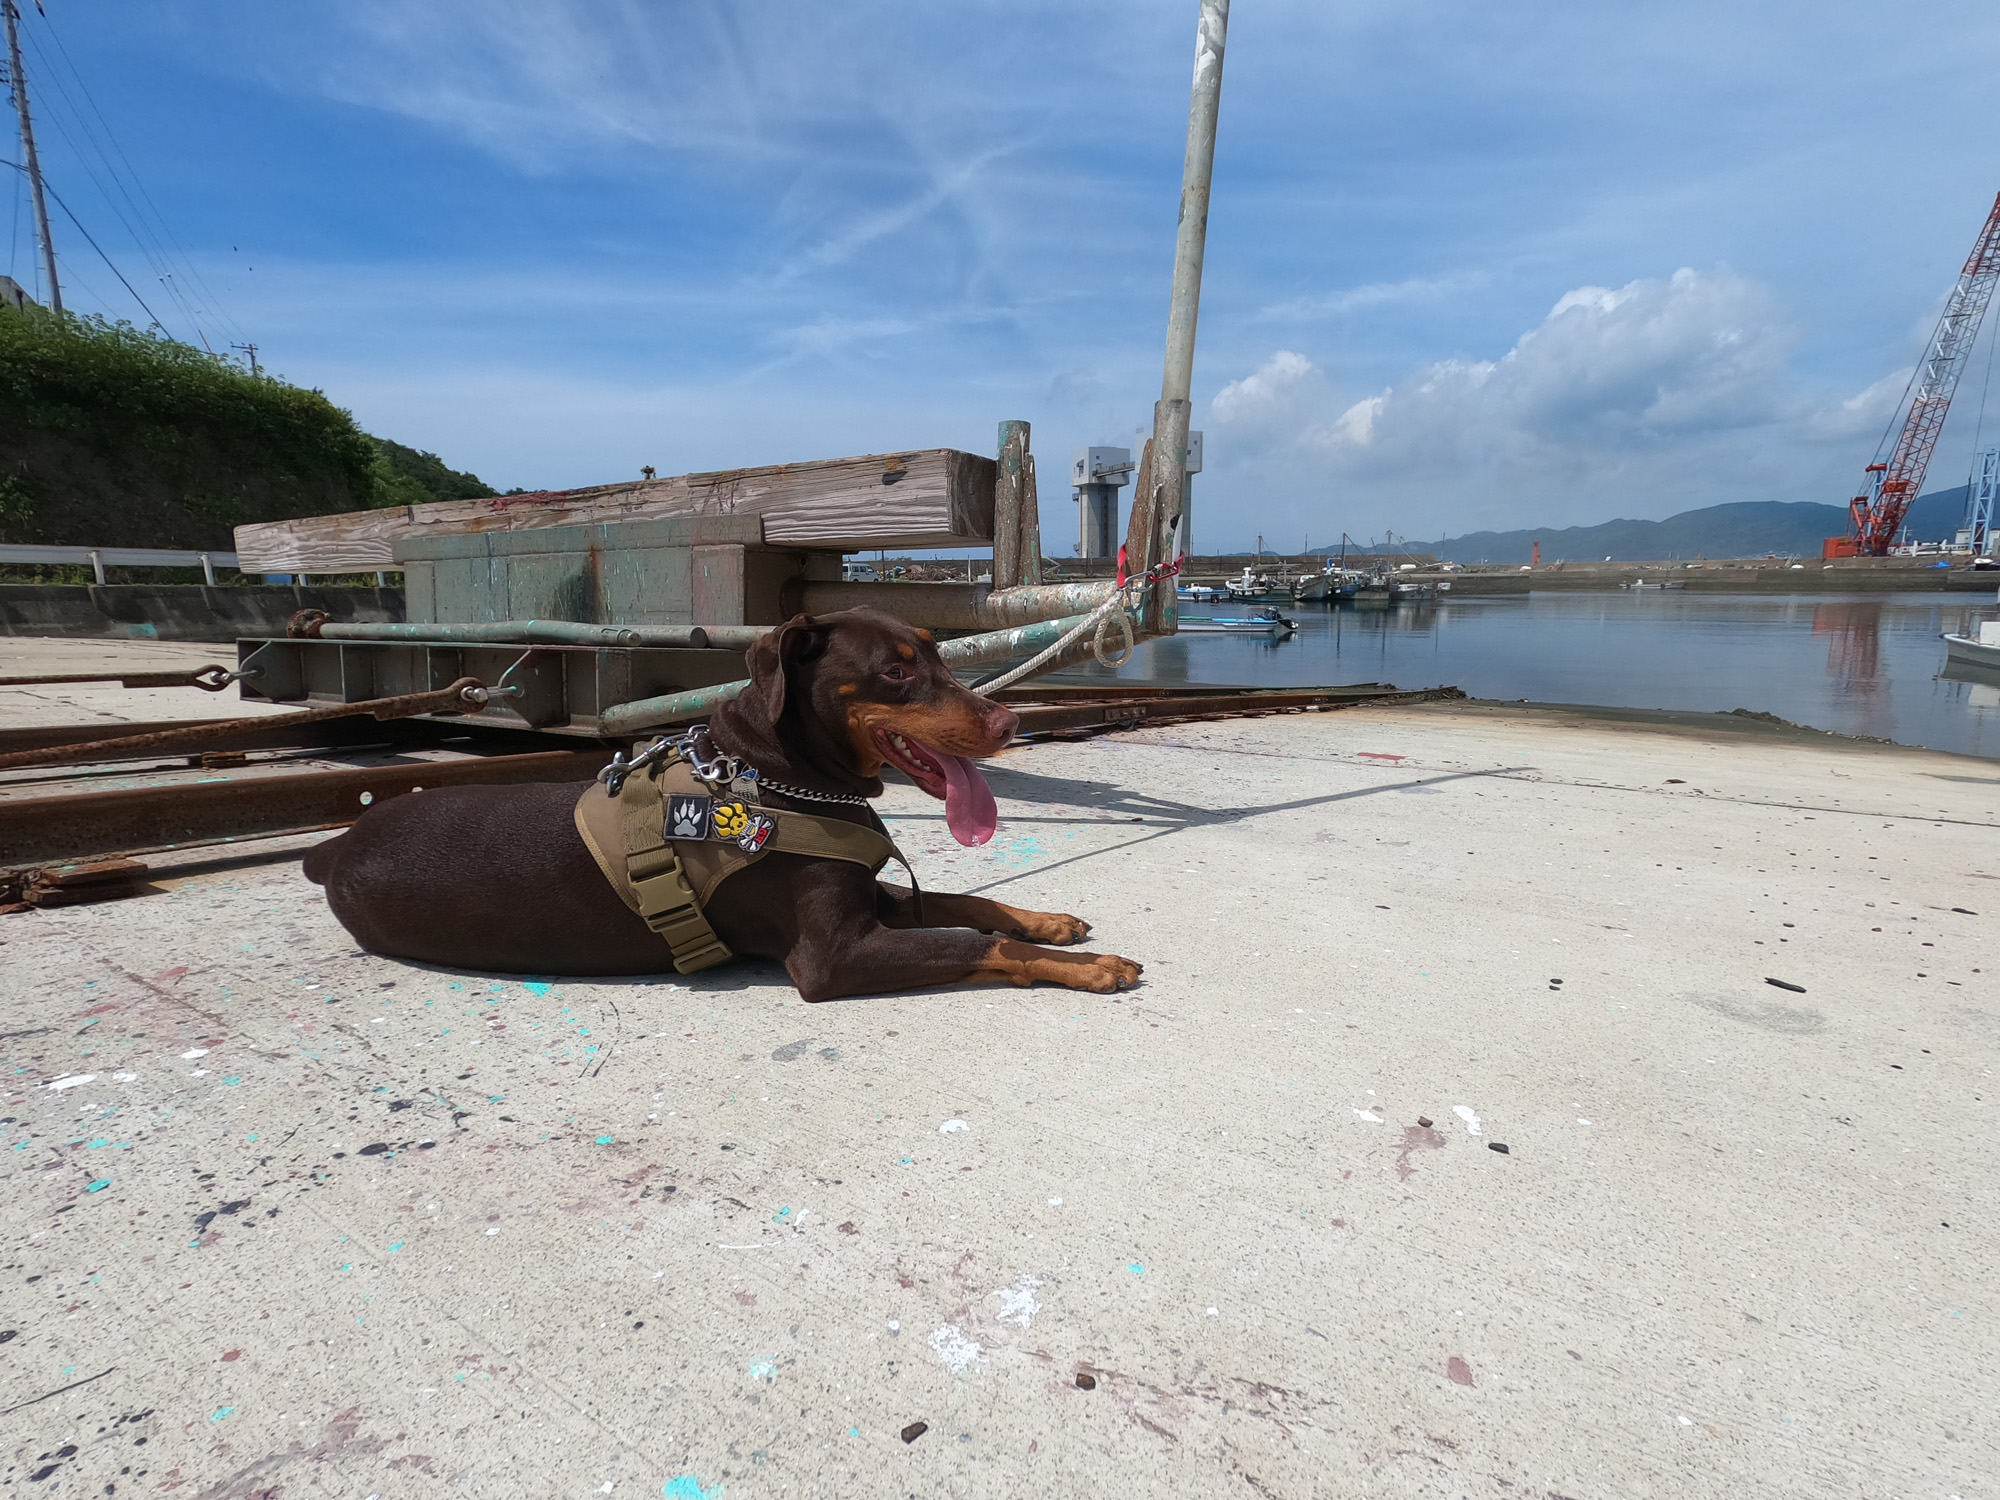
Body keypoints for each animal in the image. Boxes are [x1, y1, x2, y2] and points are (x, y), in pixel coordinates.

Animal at [300, 604, 1144, 1004]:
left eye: (938, 653)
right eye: (896, 671)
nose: (1010, 723)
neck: (776, 774)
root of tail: (334, 846)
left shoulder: (868, 894)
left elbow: (971, 903)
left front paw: (1051, 922)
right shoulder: (831, 955)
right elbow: (979, 942)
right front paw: (1092, 966)